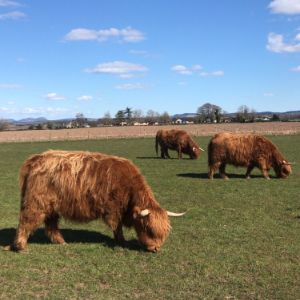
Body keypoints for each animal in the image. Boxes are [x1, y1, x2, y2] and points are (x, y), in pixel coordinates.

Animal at [6, 149, 185, 252]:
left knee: (51, 225)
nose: (155, 249)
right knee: (25, 221)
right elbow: (117, 227)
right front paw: (122, 242)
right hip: (36, 203)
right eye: (149, 229)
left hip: (52, 207)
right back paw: (20, 246)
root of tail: (36, 159)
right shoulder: (114, 209)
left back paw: (61, 242)